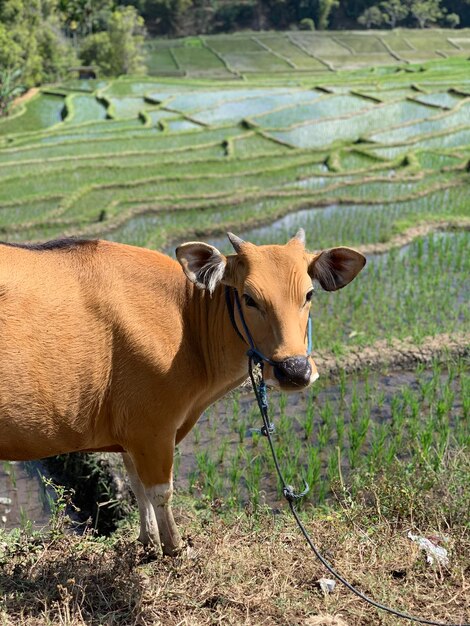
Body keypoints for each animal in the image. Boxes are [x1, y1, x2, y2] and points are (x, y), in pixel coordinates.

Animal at [0, 232, 366, 552]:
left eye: (309, 294)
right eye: (249, 298)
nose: (294, 370)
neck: (185, 320)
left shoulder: (129, 436)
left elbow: (137, 487)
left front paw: (148, 542)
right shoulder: (153, 430)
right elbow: (160, 492)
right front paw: (175, 546)